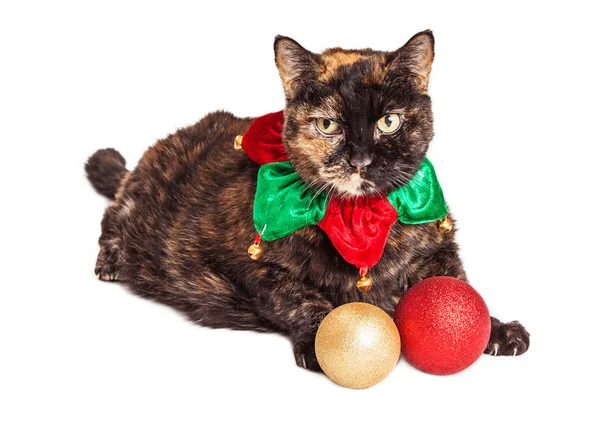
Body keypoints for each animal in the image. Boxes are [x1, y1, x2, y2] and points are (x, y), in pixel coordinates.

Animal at [85, 30, 528, 372]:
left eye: (389, 122)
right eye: (328, 125)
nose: (360, 160)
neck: (359, 218)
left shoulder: (437, 247)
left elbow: (458, 286)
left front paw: (495, 327)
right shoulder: (254, 267)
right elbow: (301, 297)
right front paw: (322, 339)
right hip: (141, 201)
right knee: (112, 214)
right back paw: (111, 260)